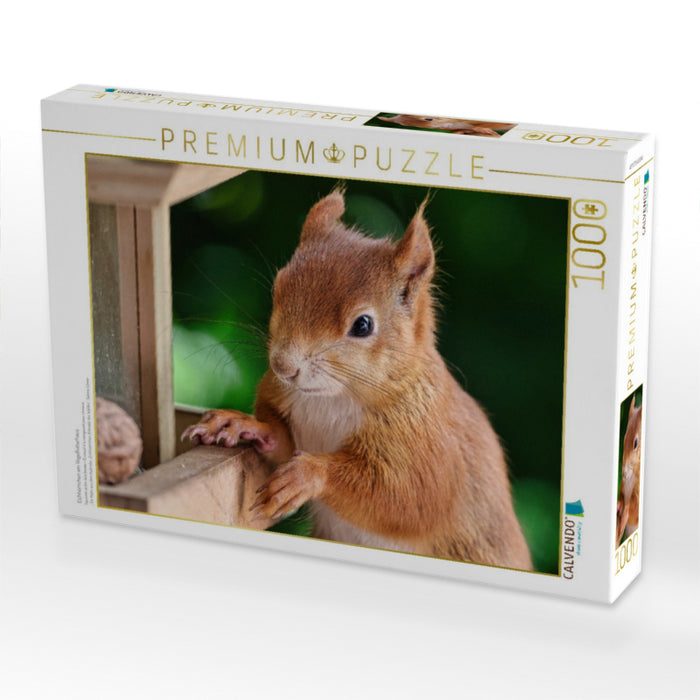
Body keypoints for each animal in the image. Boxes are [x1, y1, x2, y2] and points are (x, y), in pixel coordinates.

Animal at [182, 190, 532, 570]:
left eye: (363, 325)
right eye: (278, 287)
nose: (283, 366)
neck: (330, 399)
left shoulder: (428, 447)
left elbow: (409, 499)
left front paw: (307, 475)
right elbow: (280, 442)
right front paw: (240, 424)